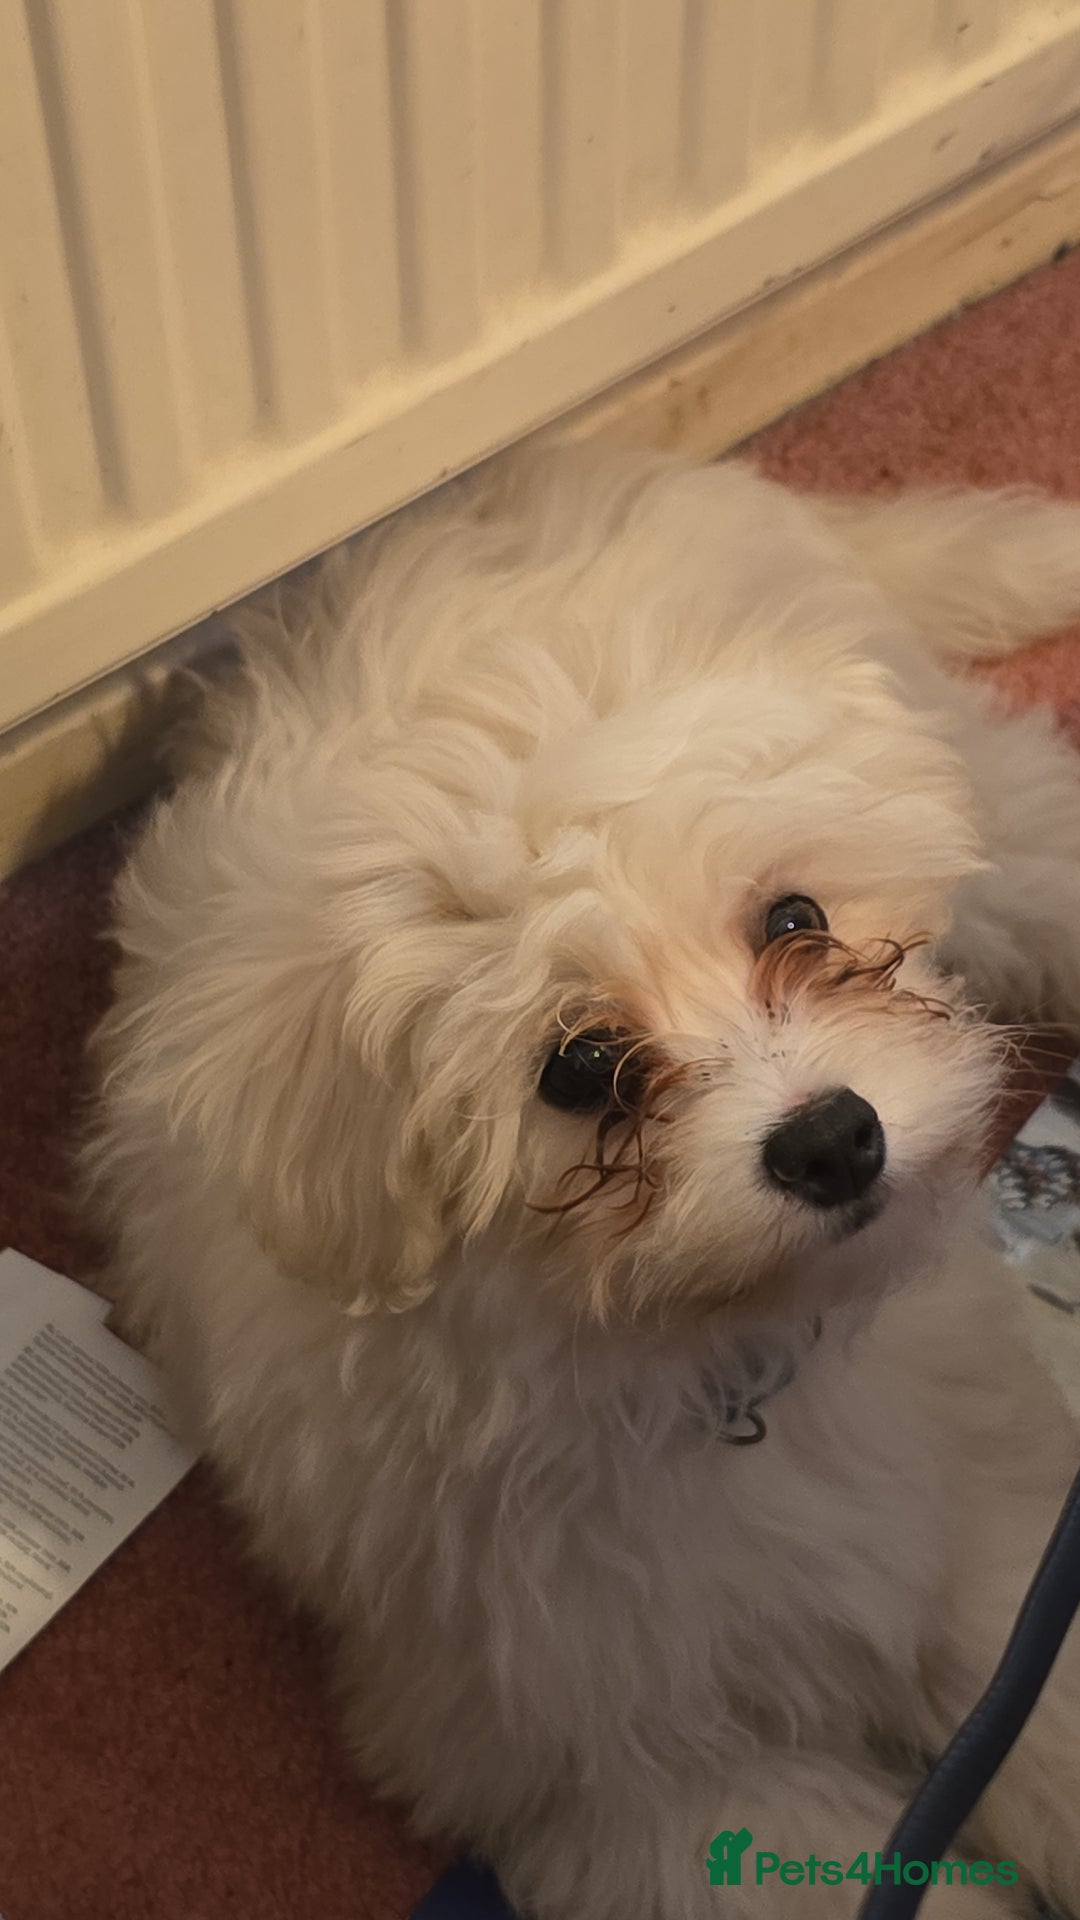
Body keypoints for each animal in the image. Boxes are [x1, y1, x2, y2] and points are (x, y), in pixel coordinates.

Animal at [89, 448, 1080, 1918]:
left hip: (993, 822)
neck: (709, 1367)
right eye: (580, 1068)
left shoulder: (992, 1545)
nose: (835, 1139)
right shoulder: (628, 1767)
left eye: (796, 920)